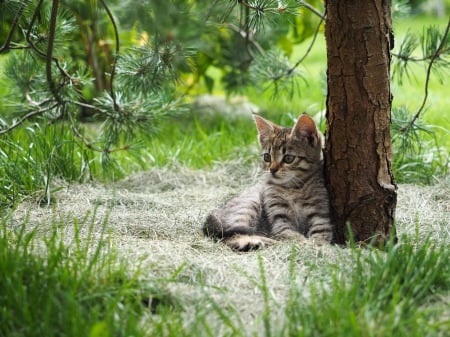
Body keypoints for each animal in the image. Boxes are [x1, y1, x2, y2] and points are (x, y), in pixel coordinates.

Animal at [202, 113, 332, 249]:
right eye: (267, 157)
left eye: (288, 158)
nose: (272, 170)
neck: (292, 188)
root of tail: (215, 214)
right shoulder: (279, 217)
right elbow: (288, 233)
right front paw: (301, 243)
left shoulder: (320, 214)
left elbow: (321, 232)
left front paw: (316, 245)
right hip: (249, 205)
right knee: (229, 235)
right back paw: (263, 241)